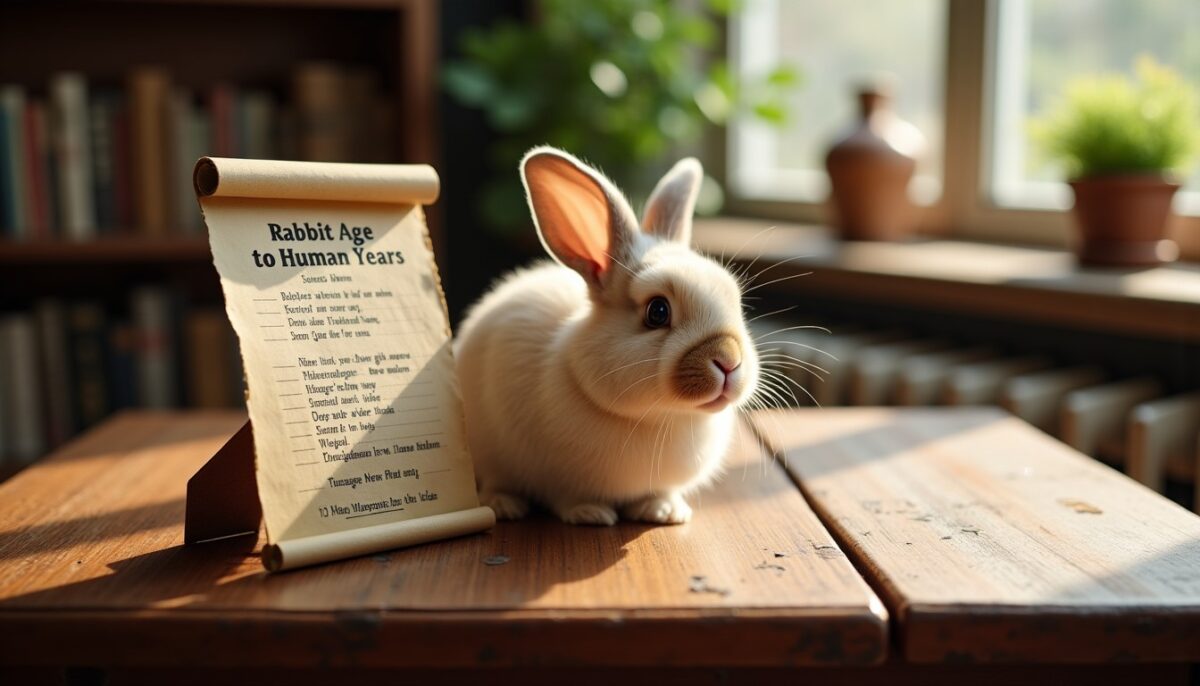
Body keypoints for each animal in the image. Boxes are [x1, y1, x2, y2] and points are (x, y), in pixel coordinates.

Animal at [453, 146, 760, 526]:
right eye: (658, 311)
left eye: (735, 298)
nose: (728, 360)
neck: (660, 417)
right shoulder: (557, 477)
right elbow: (566, 498)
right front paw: (590, 513)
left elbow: (658, 493)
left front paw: (665, 511)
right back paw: (504, 505)